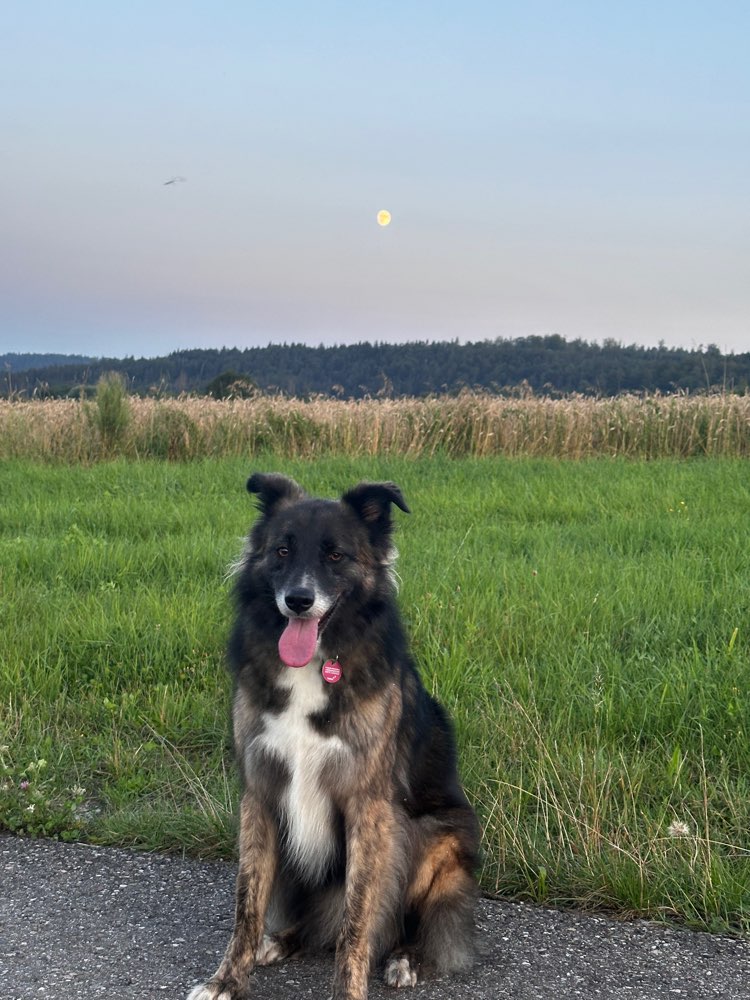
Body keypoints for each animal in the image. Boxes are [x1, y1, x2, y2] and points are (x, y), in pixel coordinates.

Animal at [188, 474, 482, 1000]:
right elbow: (247, 903)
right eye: (282, 550)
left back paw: (404, 959)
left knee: (410, 924)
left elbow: (357, 921)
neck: (315, 664)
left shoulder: (368, 807)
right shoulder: (260, 793)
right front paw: (226, 980)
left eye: (336, 555)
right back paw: (280, 941)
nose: (298, 600)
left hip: (433, 835)